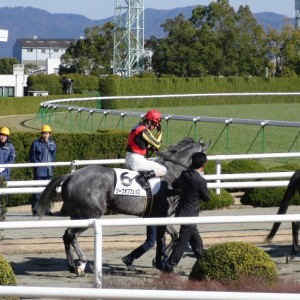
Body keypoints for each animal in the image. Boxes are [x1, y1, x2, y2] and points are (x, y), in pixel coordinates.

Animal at [36, 137, 210, 276]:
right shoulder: (162, 215)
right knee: (71, 235)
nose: (202, 176)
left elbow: (174, 236)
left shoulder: (158, 216)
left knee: (67, 235)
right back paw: (82, 263)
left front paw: (158, 260)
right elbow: (169, 237)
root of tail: (71, 176)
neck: (170, 176)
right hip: (90, 214)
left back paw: (72, 266)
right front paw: (161, 261)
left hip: (77, 215)